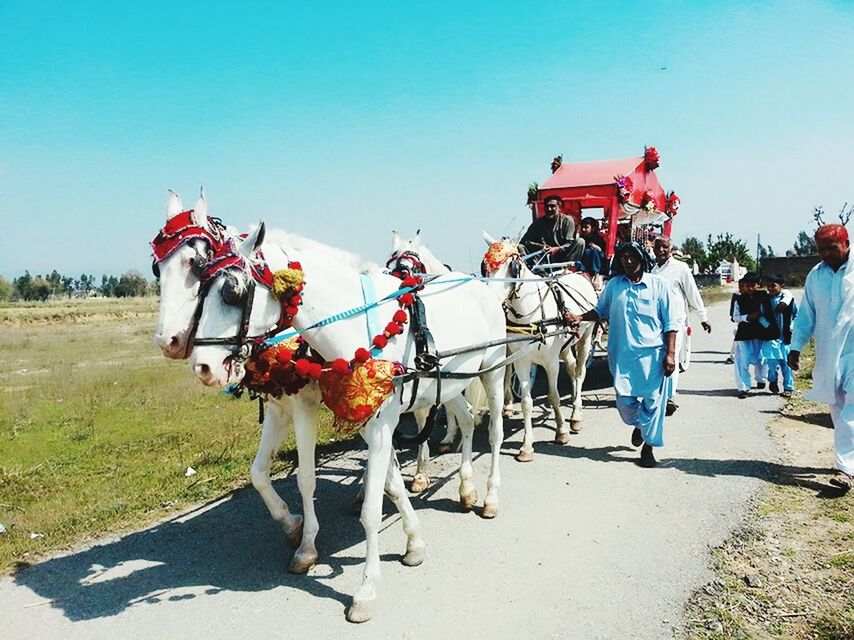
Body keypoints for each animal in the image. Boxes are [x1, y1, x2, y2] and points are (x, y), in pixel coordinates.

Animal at [149, 191, 322, 576]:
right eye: (156, 270)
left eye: (198, 264)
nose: (168, 342)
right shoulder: (279, 406)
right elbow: (257, 473)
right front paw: (291, 524)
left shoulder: (304, 407)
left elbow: (306, 477)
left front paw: (306, 546)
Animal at [191, 224, 512, 620]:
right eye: (200, 292)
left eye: (232, 292)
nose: (203, 366)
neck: (358, 328)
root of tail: (481, 285)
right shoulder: (369, 422)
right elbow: (391, 486)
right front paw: (414, 543)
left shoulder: (380, 425)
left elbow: (373, 510)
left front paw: (366, 590)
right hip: (451, 382)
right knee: (466, 422)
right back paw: (466, 489)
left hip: (492, 369)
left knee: (494, 432)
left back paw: (490, 497)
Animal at [478, 232, 600, 462]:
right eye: (485, 267)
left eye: (513, 266)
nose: (490, 302)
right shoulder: (521, 361)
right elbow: (526, 402)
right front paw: (527, 446)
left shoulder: (551, 362)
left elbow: (553, 395)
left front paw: (561, 432)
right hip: (565, 344)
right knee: (572, 368)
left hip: (586, 336)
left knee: (580, 371)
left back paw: (576, 415)